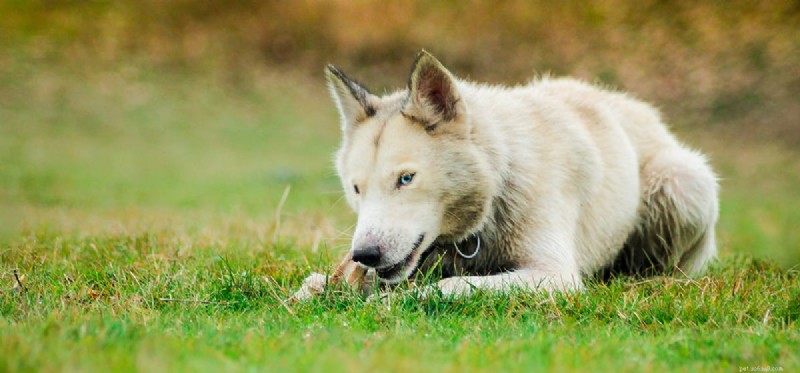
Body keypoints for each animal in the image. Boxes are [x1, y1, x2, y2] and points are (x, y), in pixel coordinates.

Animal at [292, 50, 720, 300]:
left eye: (406, 179)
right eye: (356, 188)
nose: (364, 255)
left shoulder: (555, 275)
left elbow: (447, 286)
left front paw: (395, 299)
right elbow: (317, 283)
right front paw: (321, 288)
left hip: (684, 184)